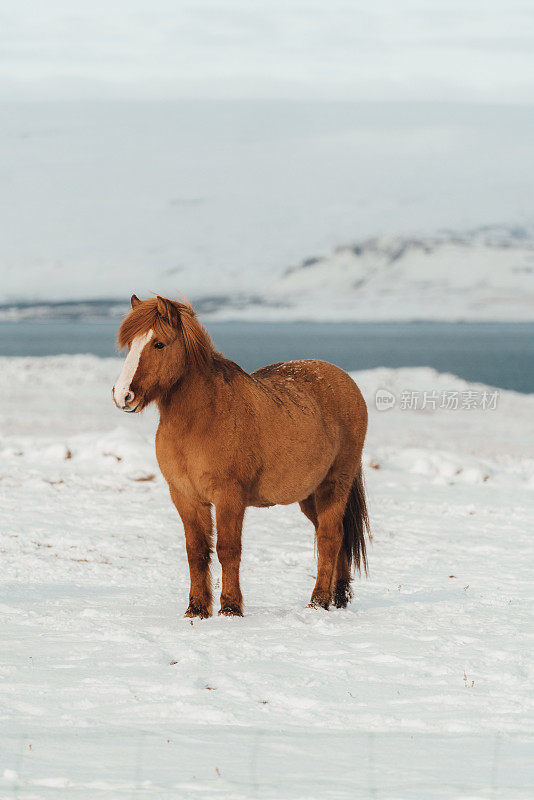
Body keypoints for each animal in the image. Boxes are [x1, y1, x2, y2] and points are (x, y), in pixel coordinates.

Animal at [113, 296, 370, 620]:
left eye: (158, 343)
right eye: (130, 344)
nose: (123, 396)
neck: (202, 418)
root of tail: (346, 381)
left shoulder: (229, 497)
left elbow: (228, 549)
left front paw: (230, 608)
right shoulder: (185, 496)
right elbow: (196, 551)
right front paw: (196, 609)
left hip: (334, 485)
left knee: (329, 538)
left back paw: (318, 601)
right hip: (310, 496)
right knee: (336, 539)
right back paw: (338, 597)